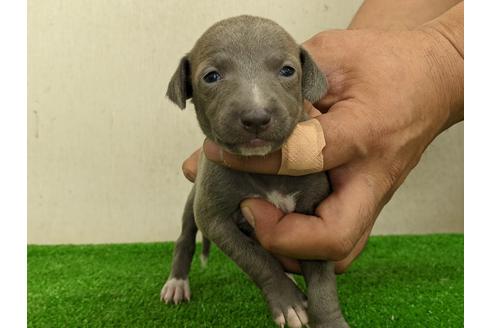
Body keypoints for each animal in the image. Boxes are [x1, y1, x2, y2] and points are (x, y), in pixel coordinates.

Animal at [160, 16, 346, 328]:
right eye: (211, 77)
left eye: (287, 71)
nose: (256, 117)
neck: (264, 167)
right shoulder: (215, 219)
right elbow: (256, 259)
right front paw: (289, 303)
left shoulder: (313, 212)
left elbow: (322, 280)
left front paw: (329, 320)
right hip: (193, 199)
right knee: (185, 237)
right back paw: (176, 283)